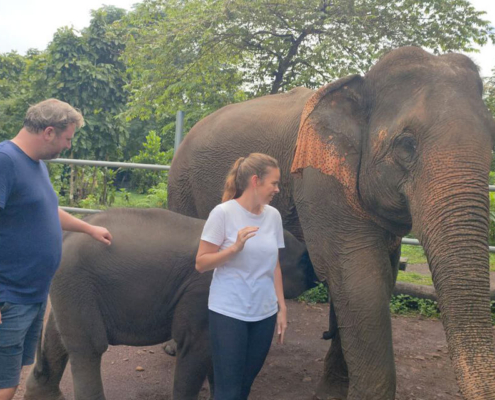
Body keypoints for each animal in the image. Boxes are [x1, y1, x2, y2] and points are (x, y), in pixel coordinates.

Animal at [24, 208, 318, 400]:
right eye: (303, 261)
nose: (315, 273)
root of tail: (66, 235)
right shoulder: (204, 287)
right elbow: (197, 345)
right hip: (76, 282)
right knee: (89, 348)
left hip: (69, 287)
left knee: (58, 337)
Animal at [169, 45, 495, 398]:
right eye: (406, 145)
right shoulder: (319, 179)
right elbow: (356, 275)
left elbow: (378, 275)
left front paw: (332, 393)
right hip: (181, 181)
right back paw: (174, 347)